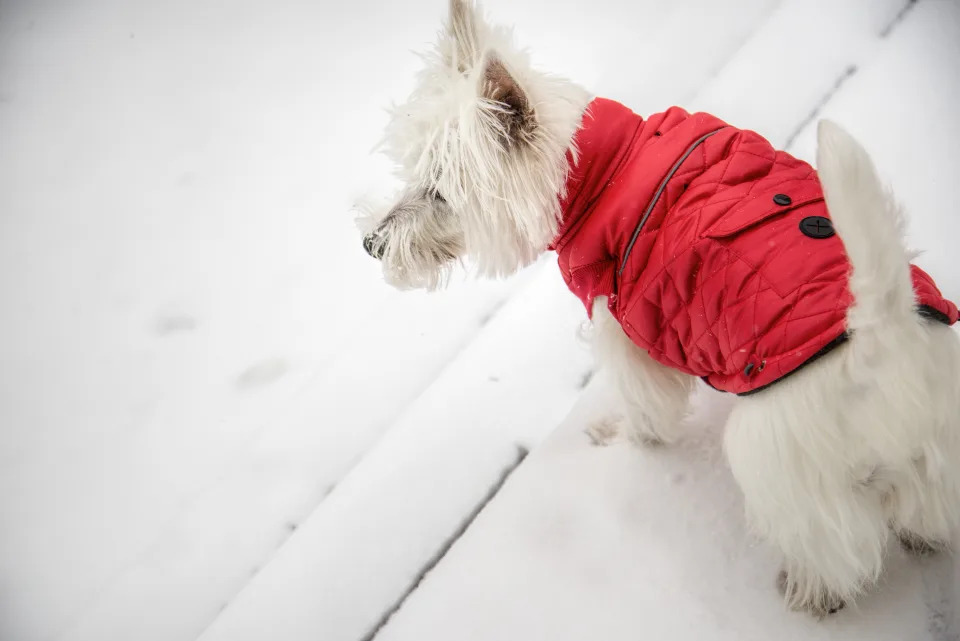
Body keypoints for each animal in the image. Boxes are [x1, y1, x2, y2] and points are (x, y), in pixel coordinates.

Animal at [360, 1, 960, 620]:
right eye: (413, 177)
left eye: (439, 194)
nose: (370, 245)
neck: (600, 169)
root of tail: (887, 342)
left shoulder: (626, 331)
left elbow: (645, 409)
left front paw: (617, 439)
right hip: (938, 455)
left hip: (778, 455)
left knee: (833, 548)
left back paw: (807, 590)